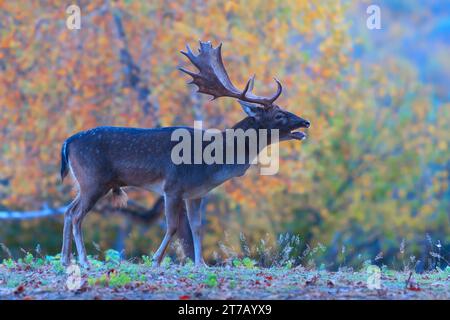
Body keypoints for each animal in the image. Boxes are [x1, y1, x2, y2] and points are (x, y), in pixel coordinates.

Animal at [59, 42, 310, 268]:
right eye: (278, 115)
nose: (305, 122)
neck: (212, 164)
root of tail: (68, 142)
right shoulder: (172, 186)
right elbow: (173, 227)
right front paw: (156, 261)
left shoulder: (195, 193)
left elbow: (197, 227)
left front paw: (201, 264)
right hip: (94, 179)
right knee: (78, 215)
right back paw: (83, 261)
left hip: (86, 182)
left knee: (69, 210)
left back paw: (65, 259)